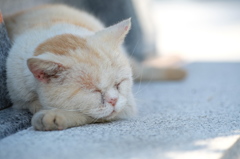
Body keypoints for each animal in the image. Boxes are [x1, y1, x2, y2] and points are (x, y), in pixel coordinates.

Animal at [4, 4, 187, 131]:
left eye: (118, 84)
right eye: (93, 91)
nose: (114, 100)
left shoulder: (127, 104)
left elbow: (87, 115)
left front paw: (54, 116)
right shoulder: (19, 94)